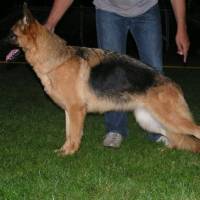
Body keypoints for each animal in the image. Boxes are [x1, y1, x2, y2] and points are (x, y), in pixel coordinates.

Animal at [2, 3, 200, 155]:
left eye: (11, 34)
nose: (0, 42)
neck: (55, 59)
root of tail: (172, 83)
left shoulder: (76, 110)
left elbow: (74, 135)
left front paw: (69, 154)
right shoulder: (69, 111)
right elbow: (68, 133)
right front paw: (63, 151)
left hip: (171, 119)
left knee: (194, 131)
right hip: (150, 120)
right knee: (173, 136)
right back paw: (167, 150)